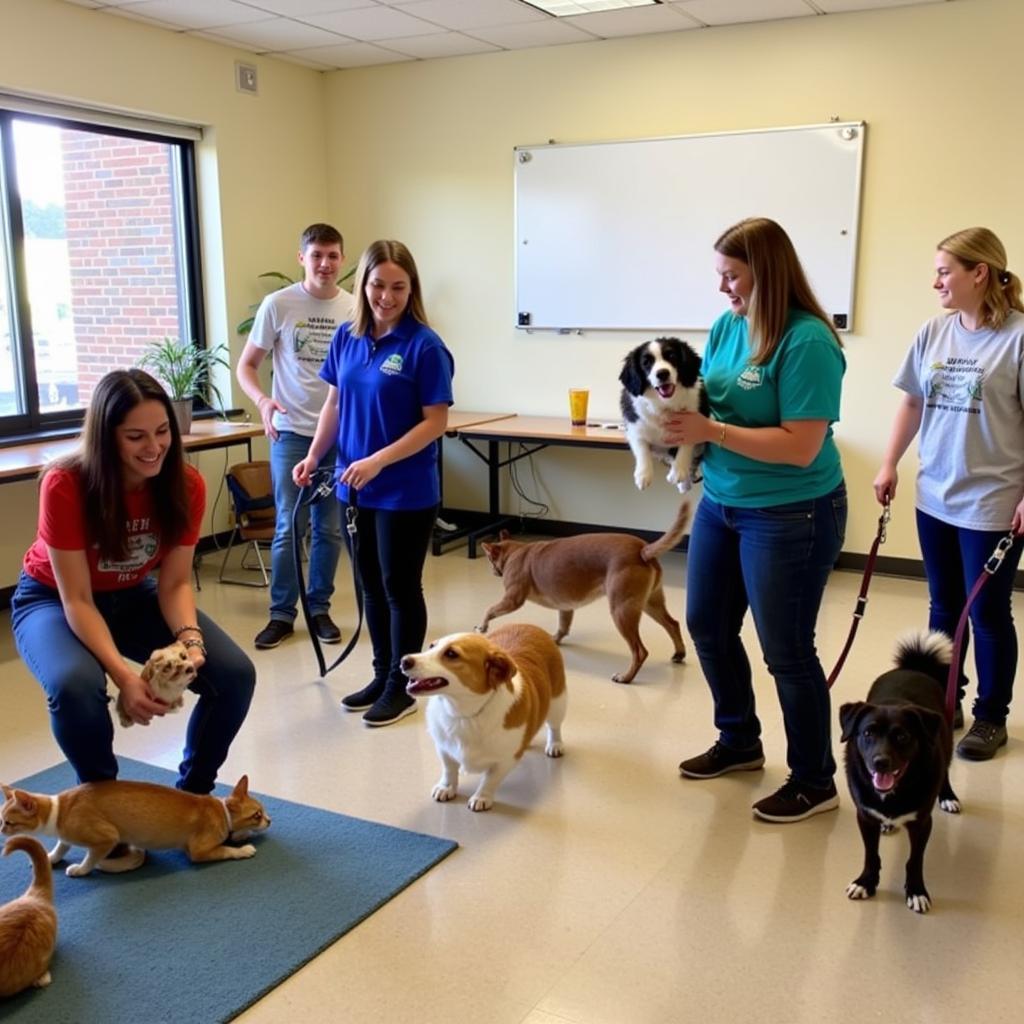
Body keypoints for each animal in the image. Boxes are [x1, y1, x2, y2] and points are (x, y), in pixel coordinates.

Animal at [0, 774, 270, 880]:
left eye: (7, 821)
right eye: (257, 815)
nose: (269, 820)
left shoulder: (84, 837)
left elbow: (64, 848)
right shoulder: (197, 852)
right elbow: (225, 849)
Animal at [401, 618, 569, 811]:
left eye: (451, 654)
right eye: (431, 646)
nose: (404, 660)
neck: (464, 713)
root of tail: (529, 625)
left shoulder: (505, 761)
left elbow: (490, 780)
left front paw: (482, 797)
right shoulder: (443, 748)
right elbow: (449, 770)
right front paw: (446, 788)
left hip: (557, 703)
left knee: (554, 727)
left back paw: (555, 744)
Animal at [618, 337, 708, 493]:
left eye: (671, 356)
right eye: (646, 363)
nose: (662, 373)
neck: (664, 403)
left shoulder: (695, 417)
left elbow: (686, 444)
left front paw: (679, 470)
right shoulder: (633, 421)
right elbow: (641, 445)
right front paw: (643, 475)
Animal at [839, 630, 958, 913]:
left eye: (902, 737)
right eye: (867, 733)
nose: (880, 762)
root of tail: (913, 668)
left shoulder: (922, 823)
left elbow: (914, 861)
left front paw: (916, 891)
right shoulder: (865, 817)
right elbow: (871, 854)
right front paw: (866, 881)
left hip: (946, 737)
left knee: (946, 771)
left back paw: (948, 796)